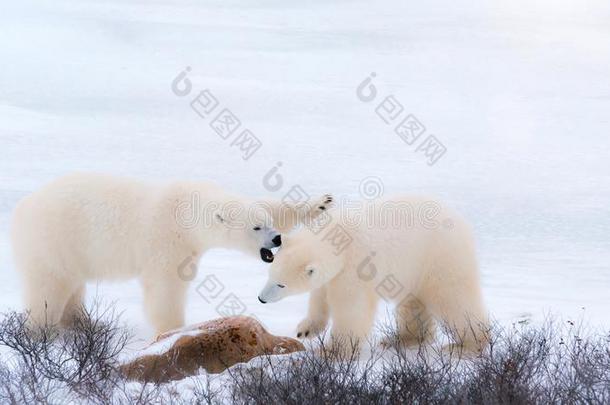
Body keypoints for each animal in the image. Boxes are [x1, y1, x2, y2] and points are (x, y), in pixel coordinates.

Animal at [10, 172, 332, 332]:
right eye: (256, 227)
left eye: (267, 223)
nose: (277, 239)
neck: (185, 210)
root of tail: (21, 208)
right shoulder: (167, 240)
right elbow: (165, 288)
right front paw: (174, 330)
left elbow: (274, 204)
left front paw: (320, 203)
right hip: (53, 242)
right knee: (48, 288)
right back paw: (41, 331)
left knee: (73, 287)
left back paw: (82, 322)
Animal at [256, 195, 490, 350]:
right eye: (270, 275)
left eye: (281, 284)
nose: (261, 299)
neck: (338, 237)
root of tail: (461, 221)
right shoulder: (334, 272)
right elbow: (320, 295)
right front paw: (306, 329)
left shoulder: (356, 266)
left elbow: (351, 307)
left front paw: (335, 350)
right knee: (413, 303)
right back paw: (404, 339)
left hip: (438, 256)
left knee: (453, 298)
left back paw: (468, 344)